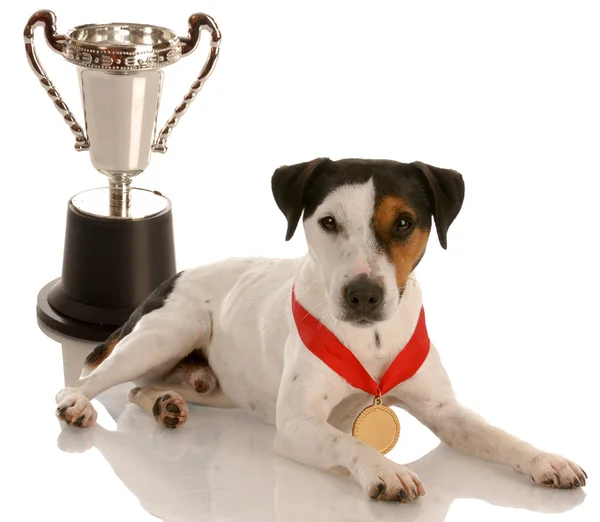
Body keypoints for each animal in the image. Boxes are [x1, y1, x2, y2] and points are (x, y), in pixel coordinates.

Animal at [54, 157, 588, 500]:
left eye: (405, 222)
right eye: (328, 222)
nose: (363, 294)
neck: (371, 340)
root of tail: (172, 277)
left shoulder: (446, 411)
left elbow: (499, 435)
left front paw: (547, 459)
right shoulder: (296, 424)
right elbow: (349, 440)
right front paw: (385, 470)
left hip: (213, 386)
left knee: (141, 388)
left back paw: (165, 403)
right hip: (167, 334)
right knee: (87, 379)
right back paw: (79, 404)